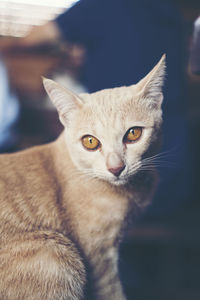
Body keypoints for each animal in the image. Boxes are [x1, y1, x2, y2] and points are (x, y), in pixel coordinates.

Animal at [0, 54, 166, 300]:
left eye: (133, 134)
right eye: (90, 142)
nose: (116, 167)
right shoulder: (99, 256)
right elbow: (112, 292)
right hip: (54, 253)